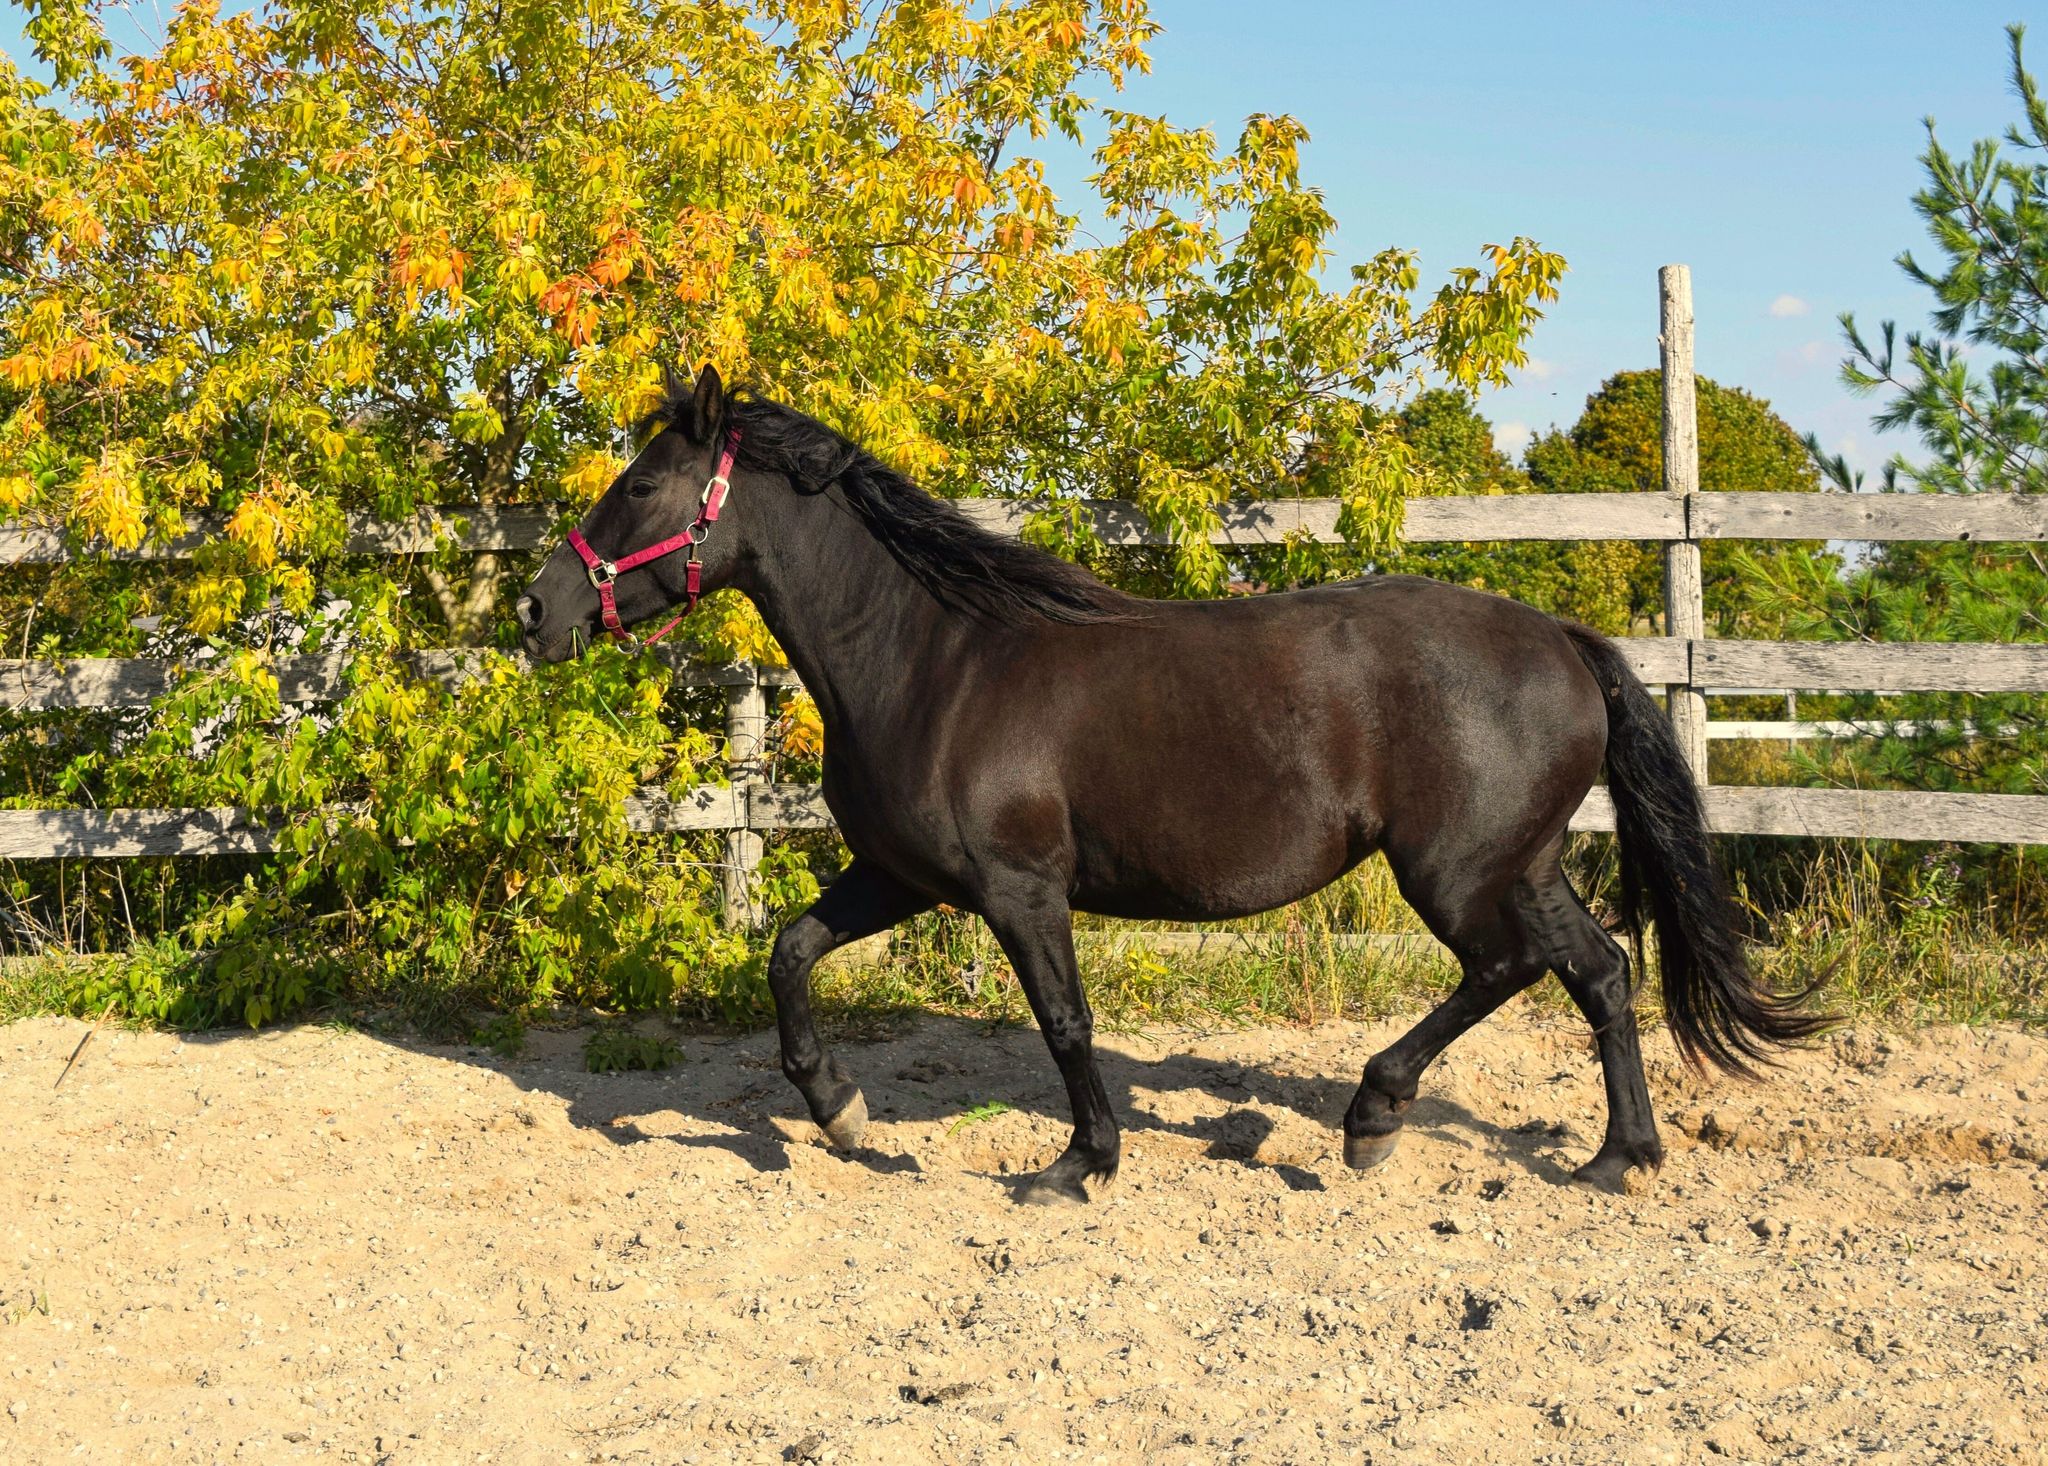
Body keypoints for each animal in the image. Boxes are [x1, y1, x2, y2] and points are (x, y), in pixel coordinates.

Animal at [516, 365, 1821, 1204]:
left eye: (640, 486)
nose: (538, 609)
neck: (931, 657)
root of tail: (1561, 639)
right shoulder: (899, 873)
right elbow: (787, 952)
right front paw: (839, 1112)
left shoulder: (1018, 887)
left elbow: (1063, 1018)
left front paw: (1074, 1164)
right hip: (1521, 860)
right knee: (1598, 972)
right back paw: (1615, 1157)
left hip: (1454, 871)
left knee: (1508, 968)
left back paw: (1371, 1117)